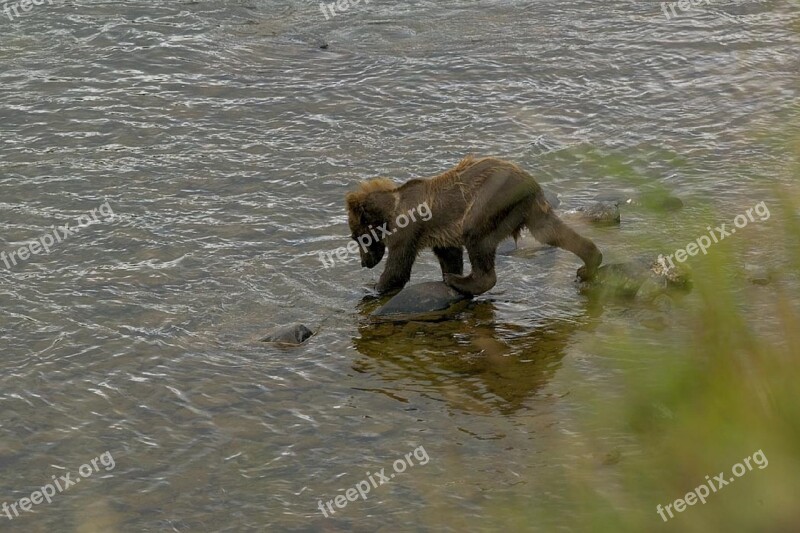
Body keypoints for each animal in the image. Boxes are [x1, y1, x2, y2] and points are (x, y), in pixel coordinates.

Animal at [344, 155, 600, 296]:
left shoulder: (407, 230)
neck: (389, 211)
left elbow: (398, 267)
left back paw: (463, 281)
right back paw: (589, 263)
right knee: (551, 232)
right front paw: (449, 272)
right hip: (529, 210)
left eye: (358, 237)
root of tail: (531, 183)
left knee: (477, 236)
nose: (364, 262)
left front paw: (373, 287)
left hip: (490, 200)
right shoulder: (441, 234)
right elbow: (450, 256)